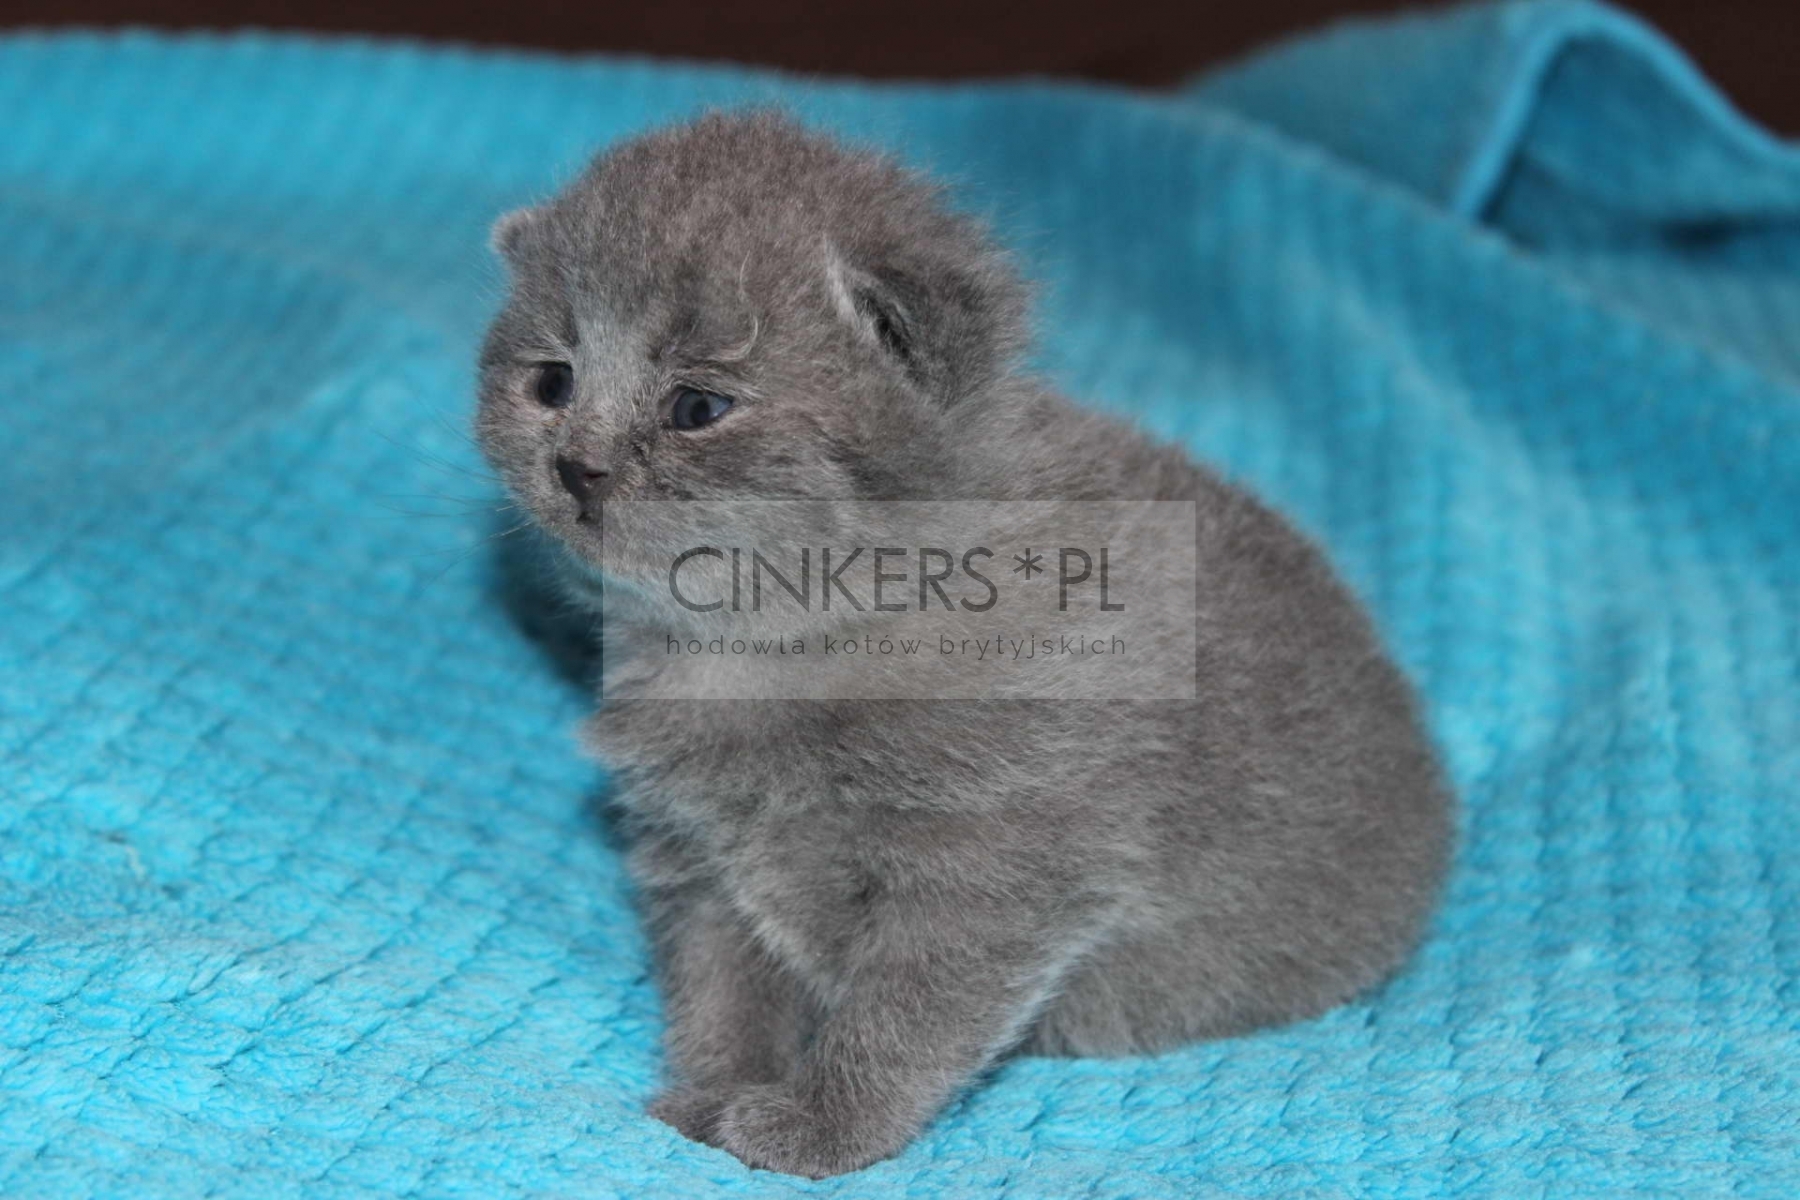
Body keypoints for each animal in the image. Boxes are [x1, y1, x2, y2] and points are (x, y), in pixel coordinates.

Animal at [476, 111, 1452, 1179]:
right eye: (552, 381)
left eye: (698, 407)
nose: (576, 465)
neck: (791, 629)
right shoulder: (704, 863)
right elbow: (721, 991)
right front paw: (713, 1097)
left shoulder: (993, 870)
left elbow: (904, 1015)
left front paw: (822, 1125)